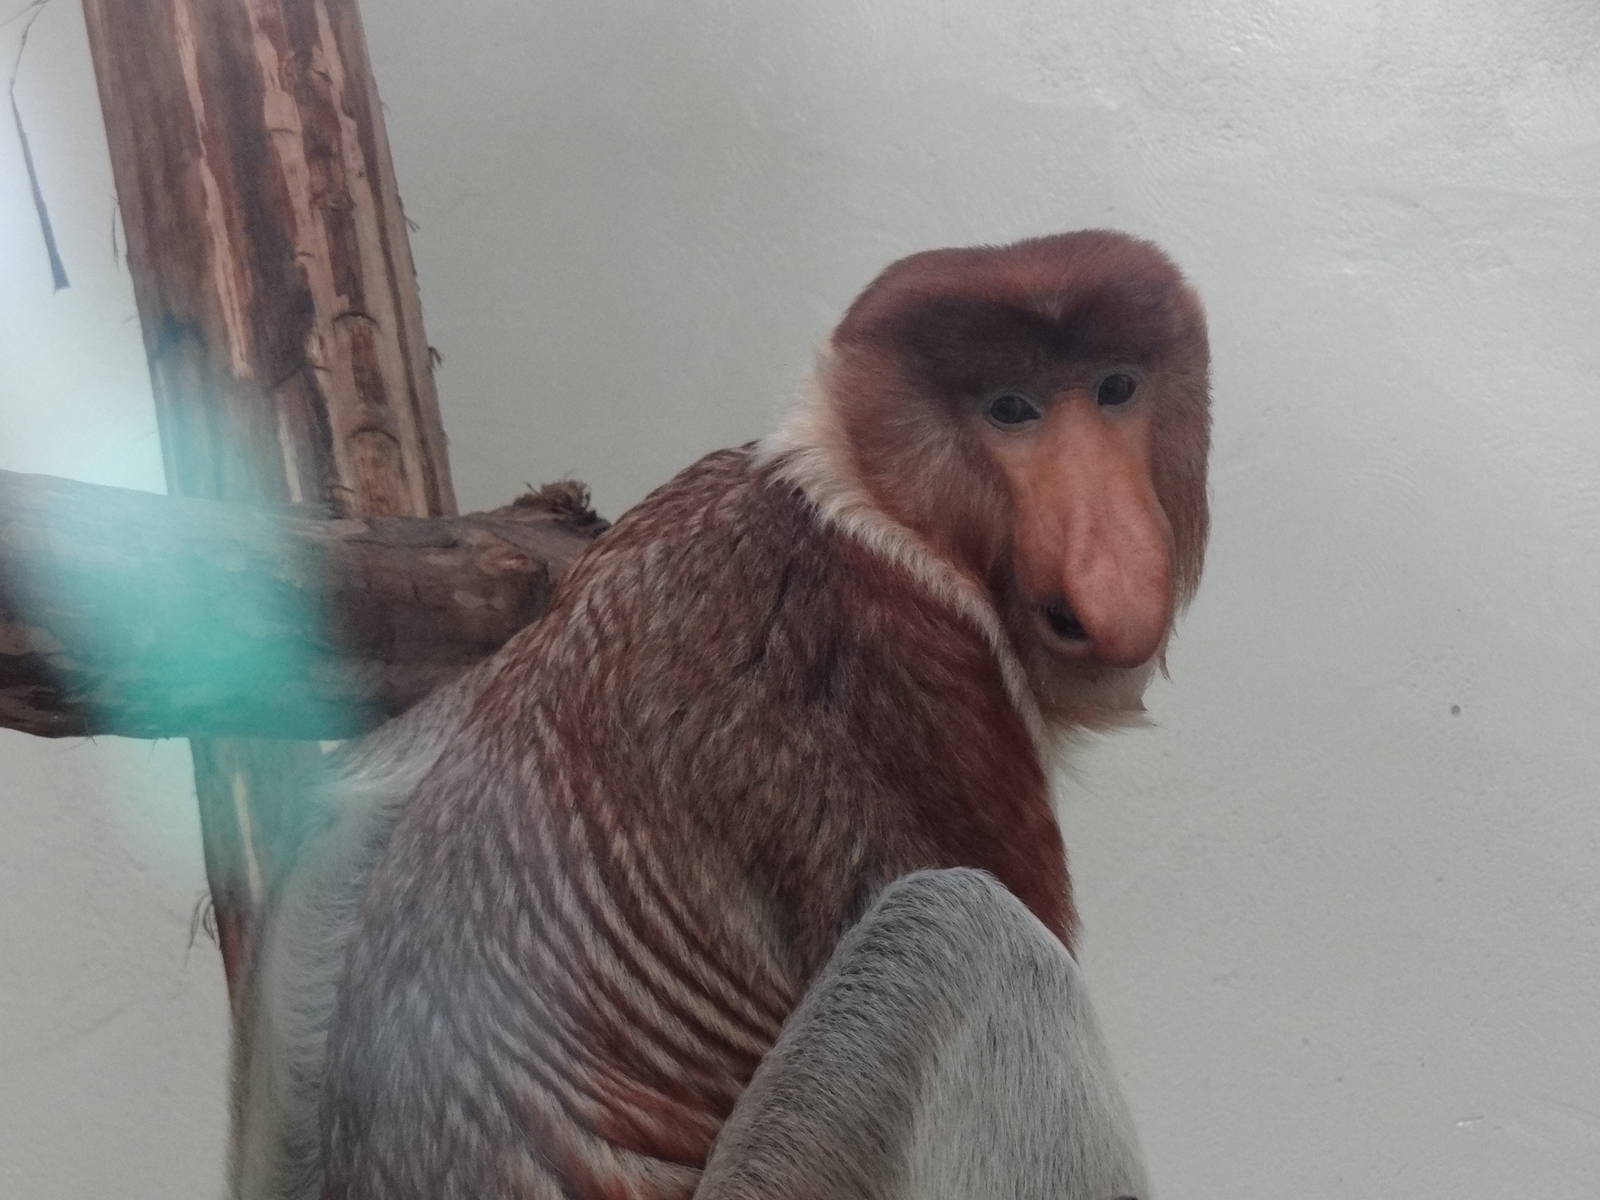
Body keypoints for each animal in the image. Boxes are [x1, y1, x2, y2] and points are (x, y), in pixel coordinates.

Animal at [231, 228, 1209, 1200]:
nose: (1111, 578)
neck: (854, 493)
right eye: (1011, 409)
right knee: (962, 929)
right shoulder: (889, 664)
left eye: (1115, 388)